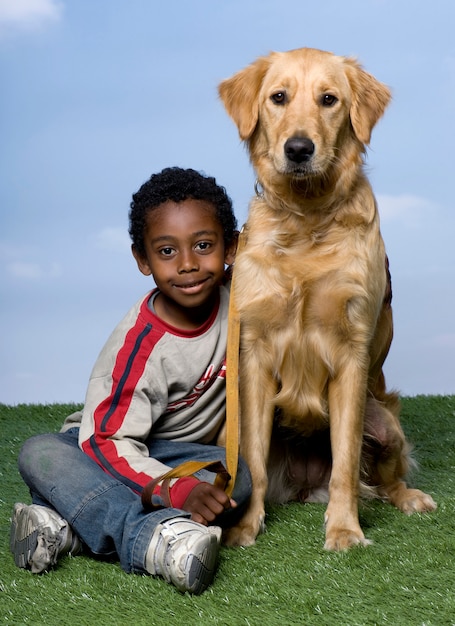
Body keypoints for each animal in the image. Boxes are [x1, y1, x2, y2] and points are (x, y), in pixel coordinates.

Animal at [219, 47, 436, 544]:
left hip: (386, 420)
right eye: (279, 97)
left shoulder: (352, 352)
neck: (307, 217)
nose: (299, 149)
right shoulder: (254, 354)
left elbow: (346, 461)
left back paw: (409, 498)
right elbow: (254, 461)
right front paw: (246, 528)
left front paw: (344, 530)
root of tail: (303, 487)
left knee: (386, 478)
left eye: (329, 99)